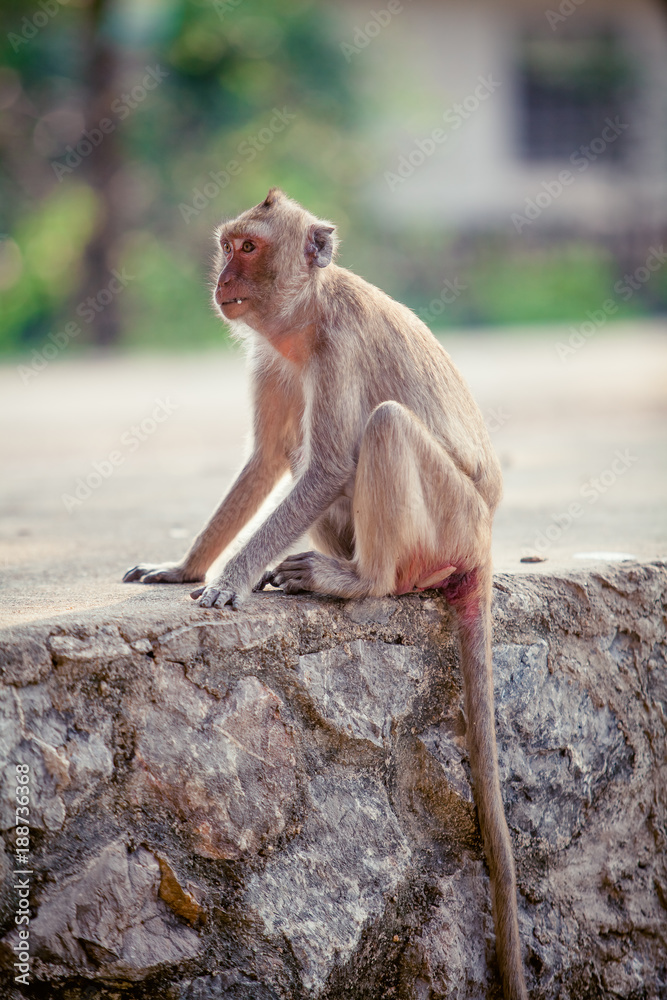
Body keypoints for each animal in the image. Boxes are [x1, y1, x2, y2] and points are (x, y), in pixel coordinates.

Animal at [123, 188, 527, 999]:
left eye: (247, 248)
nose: (222, 277)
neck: (306, 315)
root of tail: (486, 541)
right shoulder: (277, 357)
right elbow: (271, 458)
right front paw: (185, 568)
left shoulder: (337, 345)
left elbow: (331, 462)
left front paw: (230, 581)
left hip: (450, 522)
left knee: (384, 428)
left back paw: (359, 581)